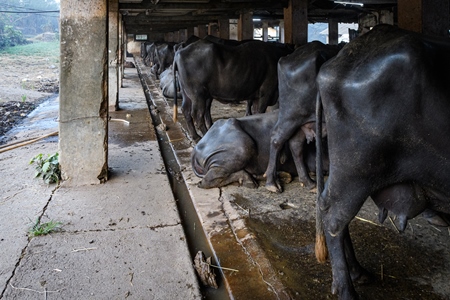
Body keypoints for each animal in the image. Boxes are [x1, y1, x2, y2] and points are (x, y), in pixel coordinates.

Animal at [262, 41, 340, 192]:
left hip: (303, 120)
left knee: (296, 145)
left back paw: (308, 182)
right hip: (291, 116)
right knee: (277, 138)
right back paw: (272, 183)